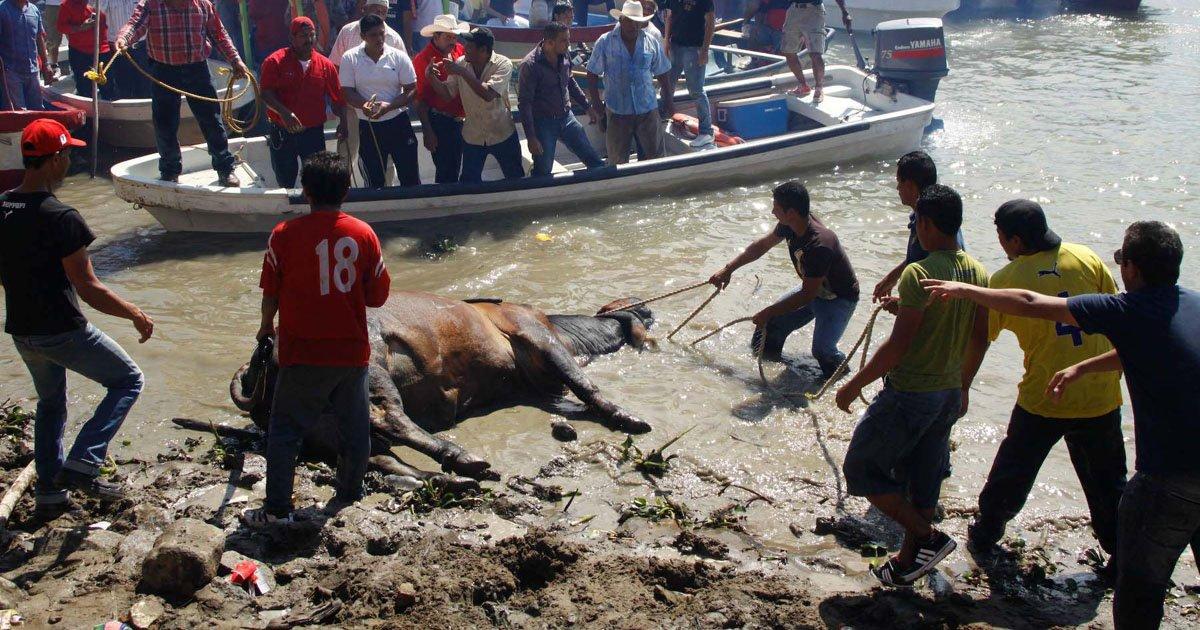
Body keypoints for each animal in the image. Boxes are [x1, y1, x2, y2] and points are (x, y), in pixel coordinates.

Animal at [228, 292, 652, 489]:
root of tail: (263, 358)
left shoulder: (531, 388)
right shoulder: (537, 336)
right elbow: (585, 386)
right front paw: (626, 416)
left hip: (324, 428)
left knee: (377, 457)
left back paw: (448, 478)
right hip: (371, 370)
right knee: (391, 420)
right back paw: (461, 458)